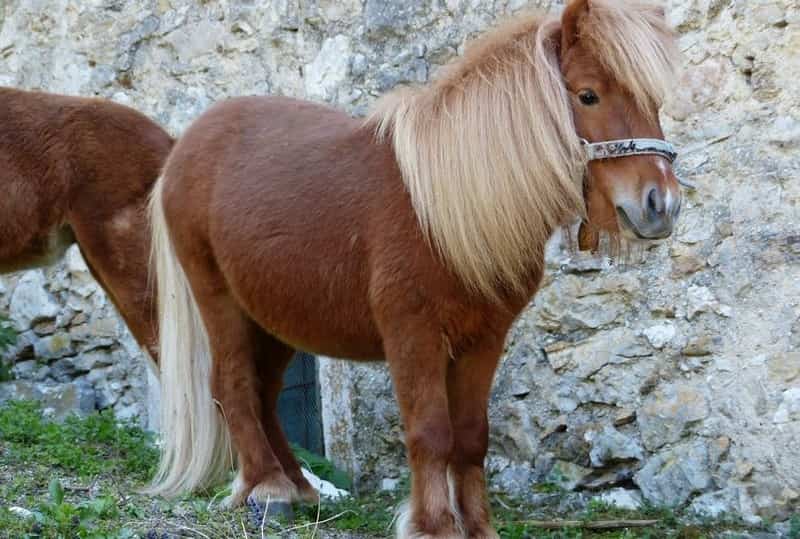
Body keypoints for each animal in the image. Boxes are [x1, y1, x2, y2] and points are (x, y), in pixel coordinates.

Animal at [148, 0, 682, 536]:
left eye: (655, 100)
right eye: (588, 95)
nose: (662, 205)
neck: (446, 211)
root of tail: (183, 149)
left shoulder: (483, 340)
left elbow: (471, 436)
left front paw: (477, 526)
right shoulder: (413, 335)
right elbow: (431, 433)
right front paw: (434, 524)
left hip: (275, 316)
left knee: (265, 392)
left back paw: (297, 487)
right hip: (218, 299)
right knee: (234, 386)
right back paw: (268, 488)